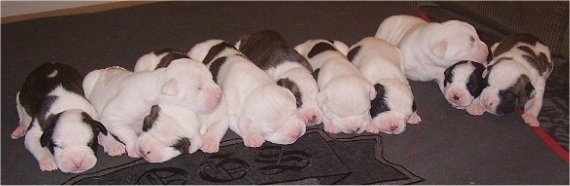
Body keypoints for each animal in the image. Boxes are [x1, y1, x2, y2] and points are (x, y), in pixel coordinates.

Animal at [82, 57, 222, 158]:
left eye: (211, 78)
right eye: (198, 88)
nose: (220, 95)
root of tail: (104, 70)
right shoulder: (113, 115)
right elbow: (127, 131)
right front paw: (133, 147)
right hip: (88, 82)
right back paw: (114, 146)